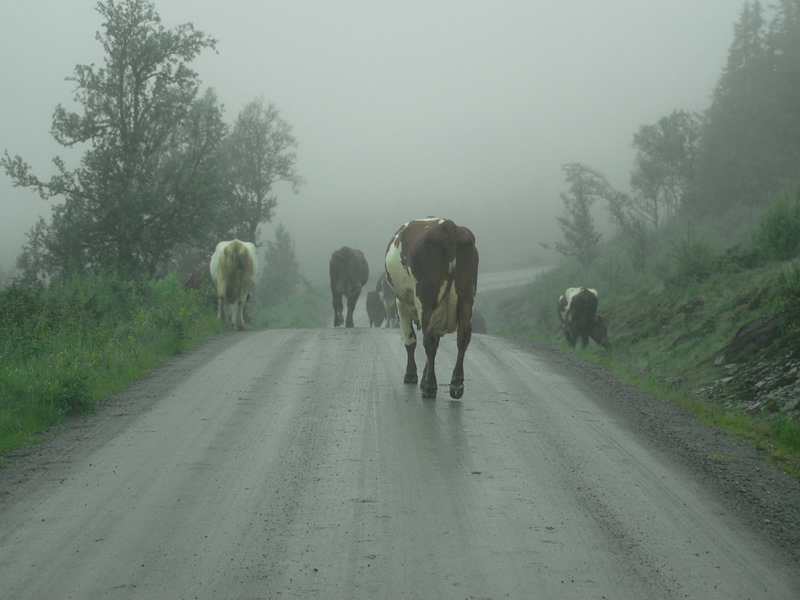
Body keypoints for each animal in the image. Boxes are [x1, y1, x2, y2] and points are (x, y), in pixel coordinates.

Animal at [384, 217, 478, 398]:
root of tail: (448, 226)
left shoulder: (401, 304)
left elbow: (410, 340)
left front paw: (412, 375)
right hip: (467, 294)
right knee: (462, 335)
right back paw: (456, 383)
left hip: (426, 296)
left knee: (429, 337)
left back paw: (430, 386)